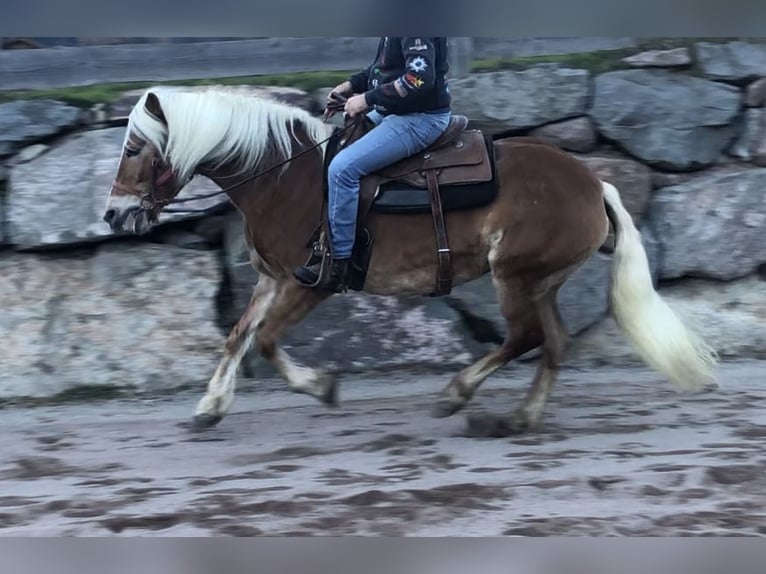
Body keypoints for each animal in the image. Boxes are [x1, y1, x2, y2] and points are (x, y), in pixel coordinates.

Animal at [102, 84, 720, 436]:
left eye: (134, 147)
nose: (113, 215)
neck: (287, 177)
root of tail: (594, 184)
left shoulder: (312, 283)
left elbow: (271, 343)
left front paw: (321, 388)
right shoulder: (273, 280)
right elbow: (238, 337)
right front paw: (209, 408)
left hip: (514, 275)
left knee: (524, 338)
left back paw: (457, 396)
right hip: (542, 280)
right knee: (554, 343)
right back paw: (518, 418)